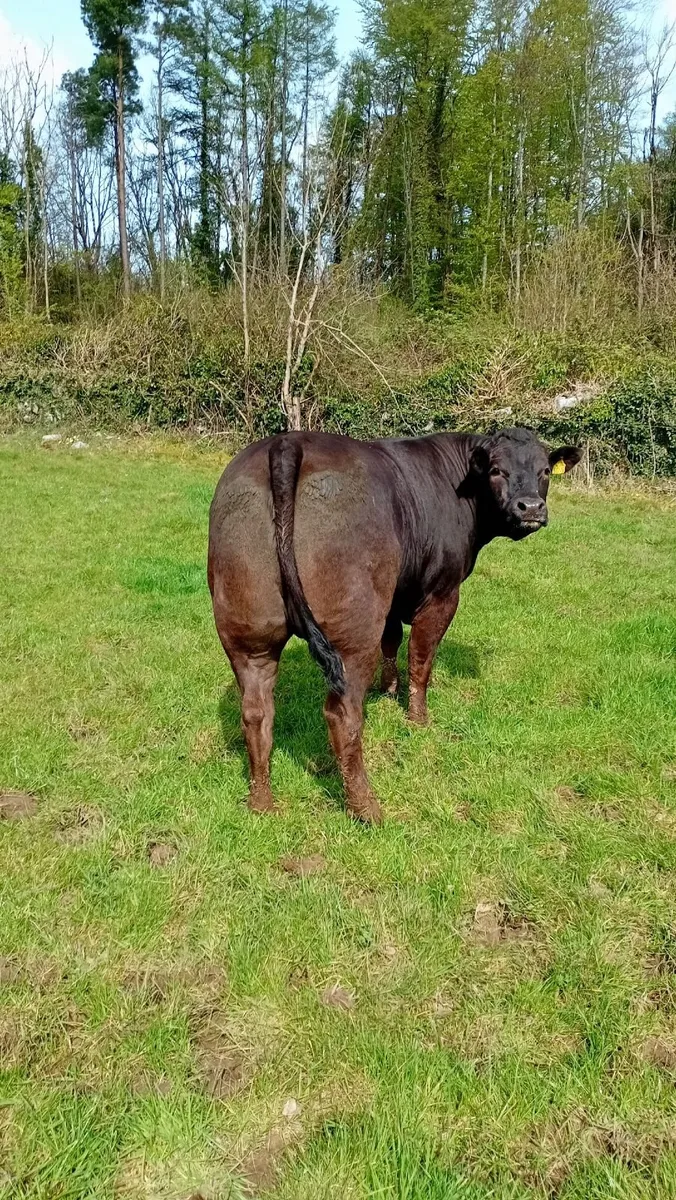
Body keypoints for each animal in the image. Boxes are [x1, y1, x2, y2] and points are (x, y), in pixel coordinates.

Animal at [208, 427, 581, 824]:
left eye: (545, 471)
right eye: (497, 471)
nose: (530, 507)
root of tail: (288, 441)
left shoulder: (393, 594)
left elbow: (392, 639)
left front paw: (387, 689)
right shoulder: (442, 593)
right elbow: (421, 656)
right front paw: (417, 718)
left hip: (248, 629)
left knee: (256, 711)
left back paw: (262, 802)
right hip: (352, 632)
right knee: (342, 714)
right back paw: (366, 807)